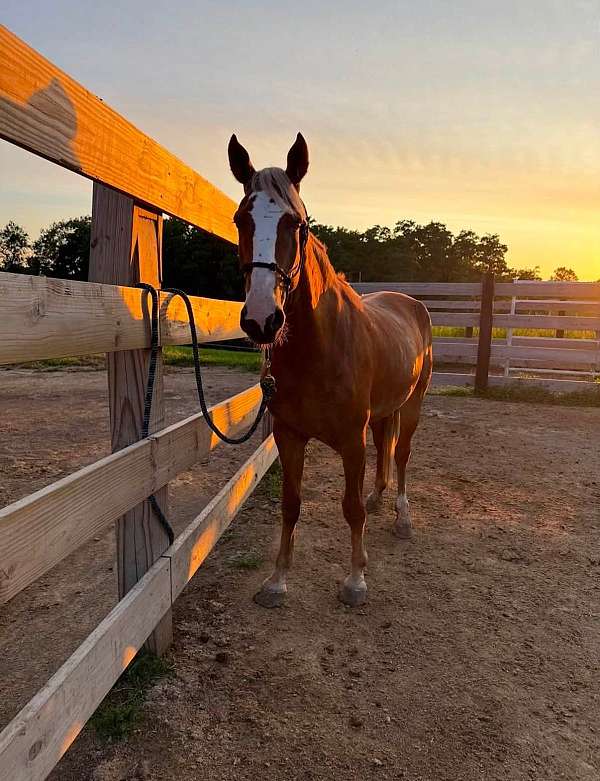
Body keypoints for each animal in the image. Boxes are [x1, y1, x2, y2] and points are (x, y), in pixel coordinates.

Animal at [227, 133, 433, 607]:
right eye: (240, 220)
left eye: (297, 223)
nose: (262, 319)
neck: (317, 350)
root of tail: (411, 303)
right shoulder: (290, 436)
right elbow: (291, 504)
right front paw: (277, 580)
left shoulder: (351, 442)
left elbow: (350, 508)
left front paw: (355, 580)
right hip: (384, 413)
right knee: (385, 450)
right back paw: (379, 499)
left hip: (413, 406)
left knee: (402, 455)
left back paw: (402, 518)